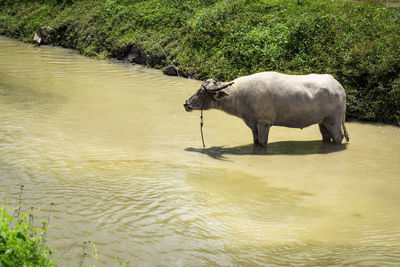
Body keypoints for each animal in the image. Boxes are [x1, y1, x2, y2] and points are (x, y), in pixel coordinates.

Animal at [184, 71, 350, 148]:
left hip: (334, 121)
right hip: (323, 122)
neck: (241, 94)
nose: (186, 103)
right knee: (326, 137)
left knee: (338, 137)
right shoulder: (254, 124)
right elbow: (256, 141)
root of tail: (339, 87)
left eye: (202, 92)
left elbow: (263, 143)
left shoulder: (264, 123)